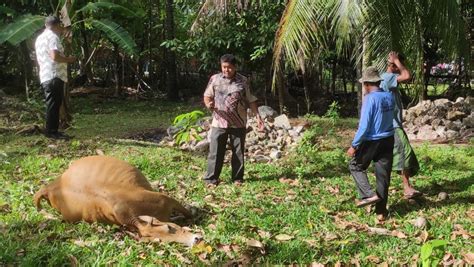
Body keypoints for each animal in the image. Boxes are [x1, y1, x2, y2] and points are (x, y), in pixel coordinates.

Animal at [33, 156, 200, 248]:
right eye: (165, 241)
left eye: (169, 228)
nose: (196, 240)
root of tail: (50, 188)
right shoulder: (167, 200)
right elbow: (189, 213)